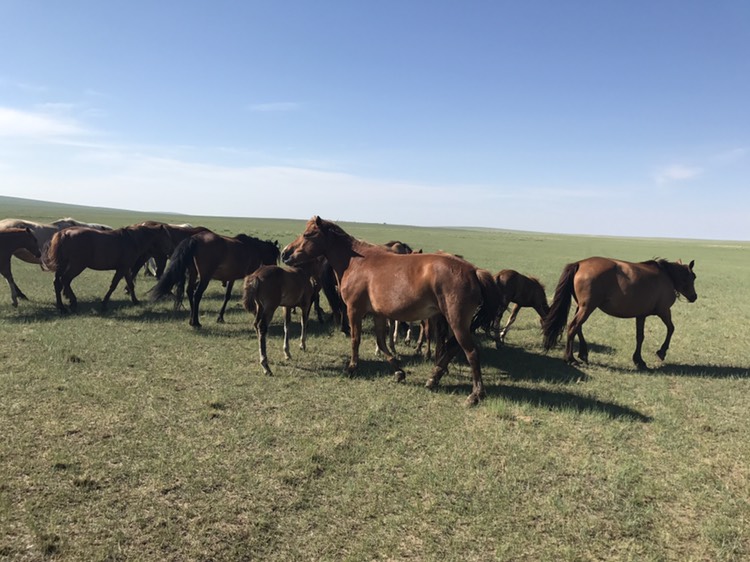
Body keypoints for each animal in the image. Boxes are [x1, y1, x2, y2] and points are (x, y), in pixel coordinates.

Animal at [44, 222, 173, 310]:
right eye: (166, 237)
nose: (170, 251)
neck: (132, 240)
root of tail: (64, 233)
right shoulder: (121, 269)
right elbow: (113, 285)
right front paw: (104, 303)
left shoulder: (125, 269)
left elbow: (130, 285)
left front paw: (135, 301)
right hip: (77, 266)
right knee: (65, 280)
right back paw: (72, 302)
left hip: (63, 265)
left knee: (58, 283)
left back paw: (61, 307)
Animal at [282, 214, 506, 402]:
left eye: (308, 234)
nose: (285, 253)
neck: (356, 262)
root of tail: (473, 271)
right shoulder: (379, 314)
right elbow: (382, 343)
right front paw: (399, 372)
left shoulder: (354, 310)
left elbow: (356, 340)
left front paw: (352, 368)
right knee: (452, 348)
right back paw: (433, 378)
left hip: (456, 321)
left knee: (470, 352)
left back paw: (475, 394)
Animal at [540, 255, 700, 368]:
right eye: (692, 277)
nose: (694, 297)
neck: (667, 276)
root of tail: (580, 264)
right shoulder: (664, 311)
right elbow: (671, 328)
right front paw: (662, 351)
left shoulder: (641, 315)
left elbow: (640, 337)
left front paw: (638, 360)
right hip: (587, 307)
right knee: (573, 326)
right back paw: (570, 358)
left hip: (582, 306)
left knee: (577, 327)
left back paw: (583, 353)